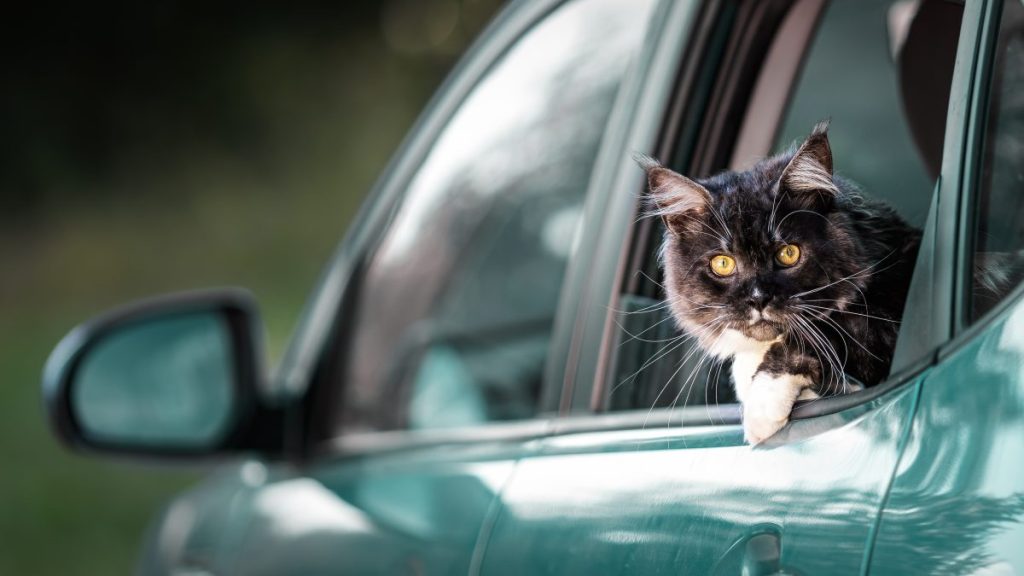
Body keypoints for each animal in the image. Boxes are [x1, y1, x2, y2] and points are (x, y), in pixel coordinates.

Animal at [638, 120, 921, 444]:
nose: (758, 298)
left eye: (788, 253)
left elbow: (811, 336)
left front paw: (761, 410)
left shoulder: (880, 324)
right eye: (722, 264)